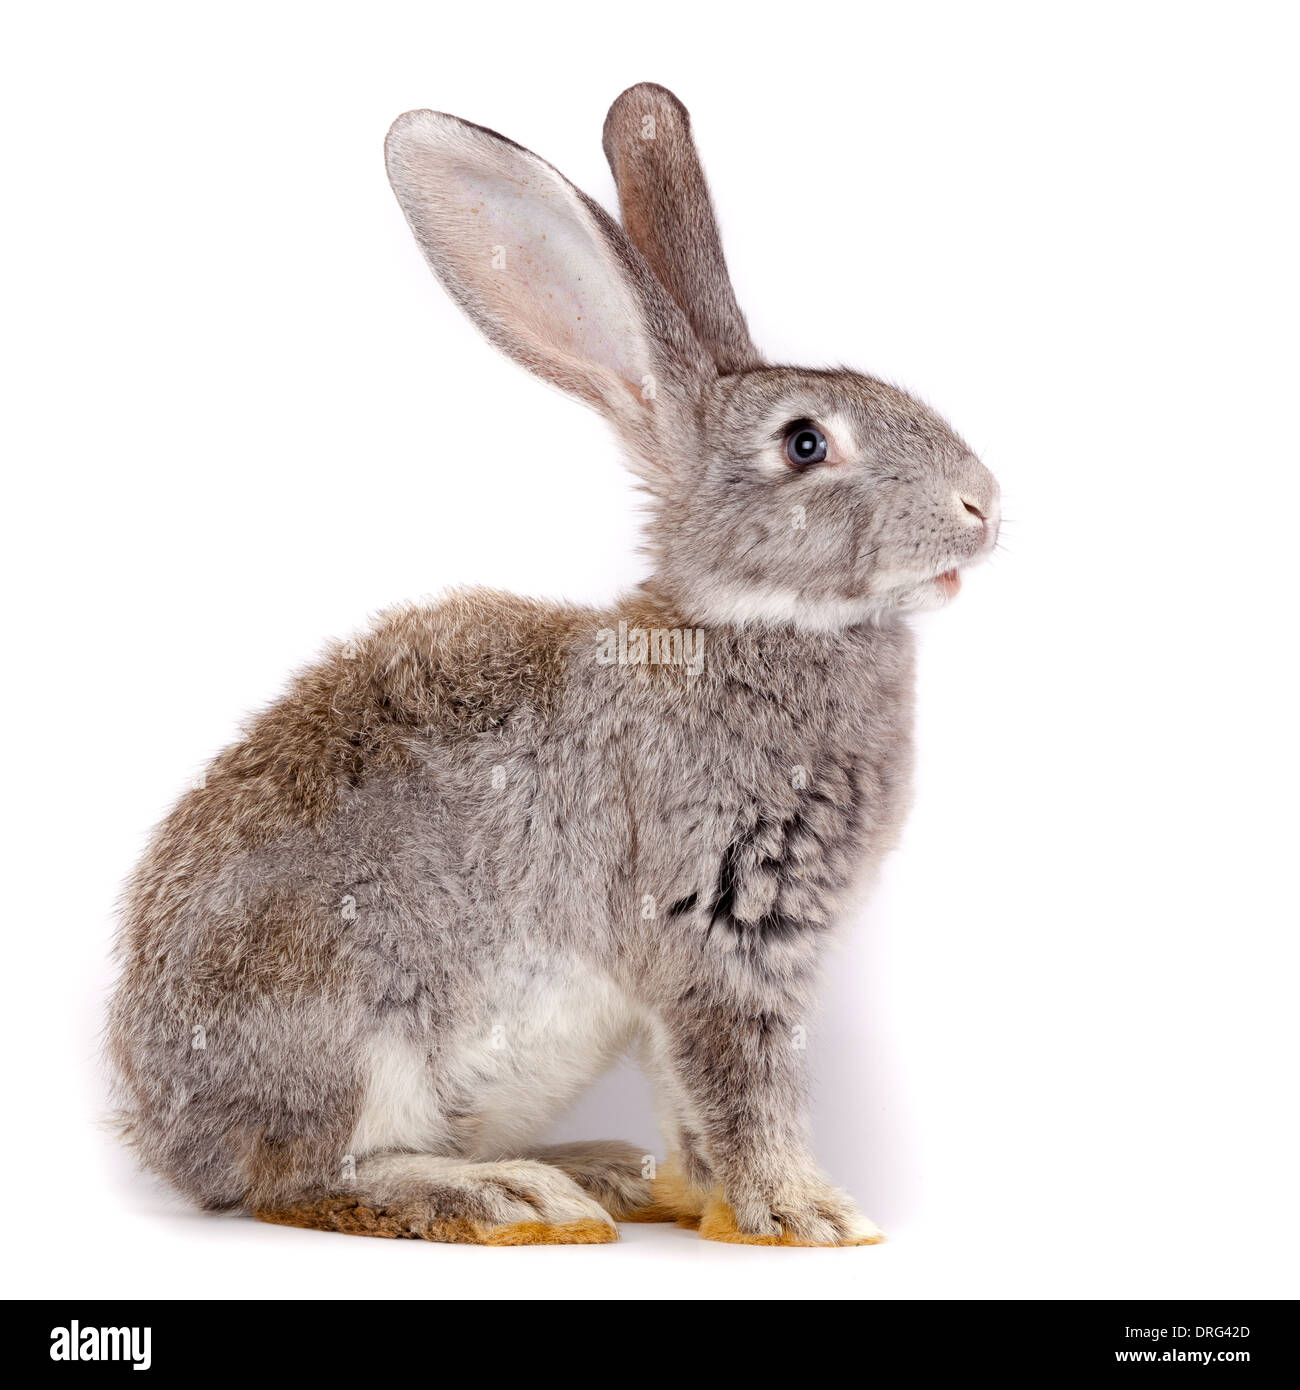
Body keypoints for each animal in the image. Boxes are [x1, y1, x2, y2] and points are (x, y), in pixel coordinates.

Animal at [107, 81, 1001, 1245]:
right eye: (806, 443)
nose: (983, 505)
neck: (748, 622)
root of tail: (164, 1138)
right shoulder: (717, 923)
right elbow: (740, 1079)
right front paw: (807, 1215)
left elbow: (688, 1094)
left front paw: (704, 1198)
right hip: (348, 1027)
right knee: (300, 1178)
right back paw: (505, 1195)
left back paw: (599, 1172)